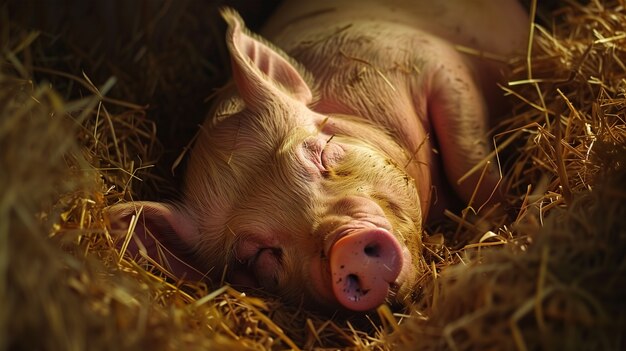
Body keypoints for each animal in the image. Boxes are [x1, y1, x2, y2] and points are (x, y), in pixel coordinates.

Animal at [107, 0, 528, 314]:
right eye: (257, 254)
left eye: (321, 153)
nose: (346, 246)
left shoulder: (431, 60)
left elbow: (468, 162)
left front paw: (499, 221)